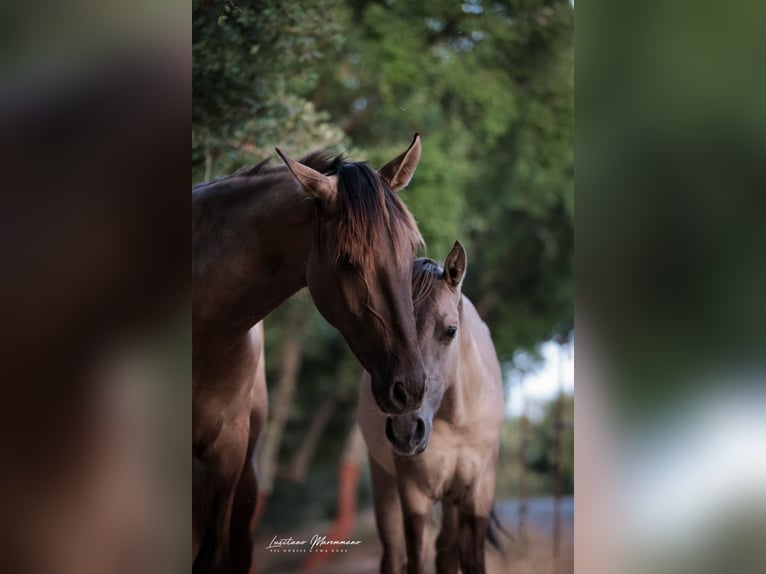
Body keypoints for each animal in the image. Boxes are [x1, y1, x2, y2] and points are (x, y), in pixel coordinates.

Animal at [359, 241, 505, 574]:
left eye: (450, 330)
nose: (405, 430)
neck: (457, 421)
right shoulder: (414, 495)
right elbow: (415, 560)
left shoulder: (478, 493)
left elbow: (471, 560)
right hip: (384, 483)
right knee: (394, 555)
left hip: (451, 499)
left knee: (446, 553)